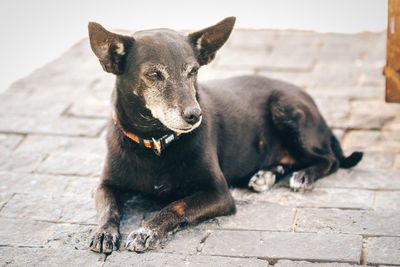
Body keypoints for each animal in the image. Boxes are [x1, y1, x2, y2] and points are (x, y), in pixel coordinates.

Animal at [87, 17, 362, 255]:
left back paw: (304, 176)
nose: (194, 115)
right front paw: (104, 232)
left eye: (193, 71)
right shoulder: (105, 185)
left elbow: (175, 205)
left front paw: (146, 231)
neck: (155, 144)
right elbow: (108, 209)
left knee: (329, 159)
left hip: (286, 109)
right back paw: (266, 175)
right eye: (154, 74)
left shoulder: (218, 193)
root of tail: (316, 108)